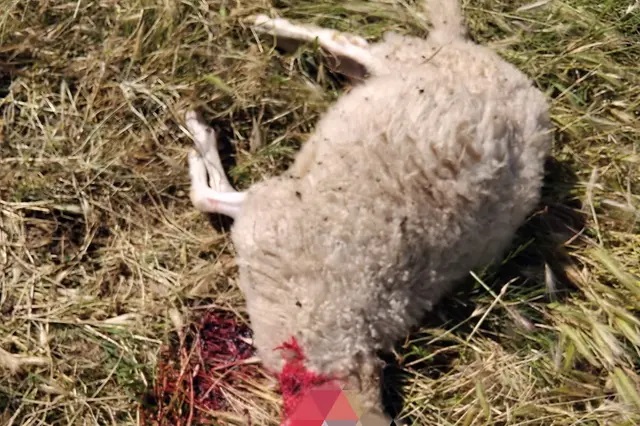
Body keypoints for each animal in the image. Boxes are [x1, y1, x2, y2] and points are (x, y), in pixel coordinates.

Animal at [184, 0, 553, 423]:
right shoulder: (269, 210)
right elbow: (208, 195)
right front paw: (199, 139)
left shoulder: (266, 211)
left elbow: (209, 196)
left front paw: (198, 147)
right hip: (412, 60)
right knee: (350, 41)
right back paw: (263, 27)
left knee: (351, 50)